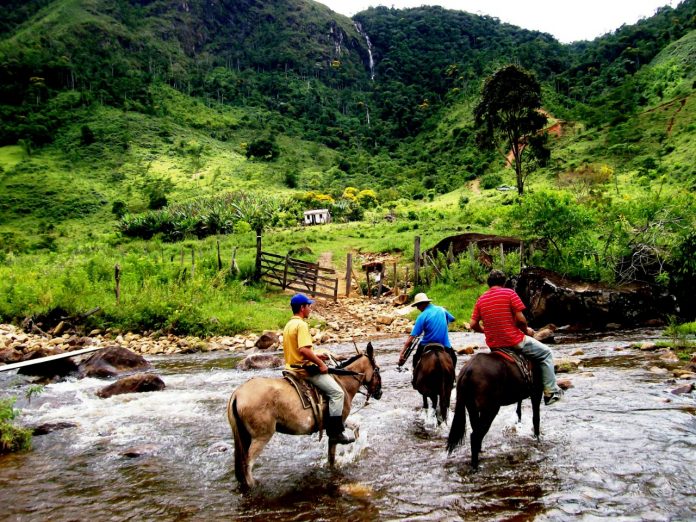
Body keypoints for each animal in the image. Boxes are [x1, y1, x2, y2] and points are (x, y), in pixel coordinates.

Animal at [227, 342, 380, 488]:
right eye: (377, 369)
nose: (380, 393)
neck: (342, 382)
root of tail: (237, 394)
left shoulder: (338, 423)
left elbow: (356, 426)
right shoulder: (335, 427)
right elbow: (332, 455)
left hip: (245, 436)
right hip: (261, 437)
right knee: (248, 464)